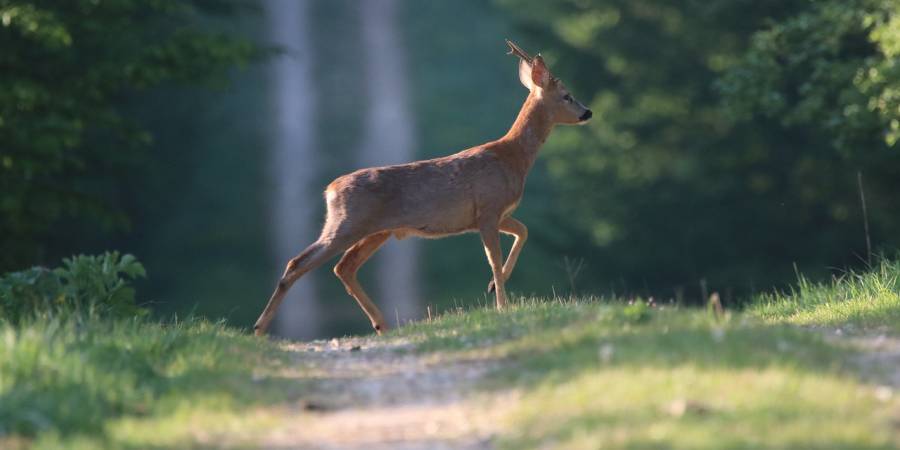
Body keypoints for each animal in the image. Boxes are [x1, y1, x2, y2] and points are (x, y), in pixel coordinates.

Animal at [253, 40, 592, 336]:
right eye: (566, 95)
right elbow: (493, 257)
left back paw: (381, 325)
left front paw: (494, 287)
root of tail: (330, 190)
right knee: (299, 262)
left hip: (377, 231)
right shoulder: (487, 208)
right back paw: (259, 328)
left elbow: (523, 231)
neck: (513, 157)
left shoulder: (496, 214)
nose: (587, 112)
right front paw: (501, 303)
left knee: (344, 267)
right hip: (348, 223)